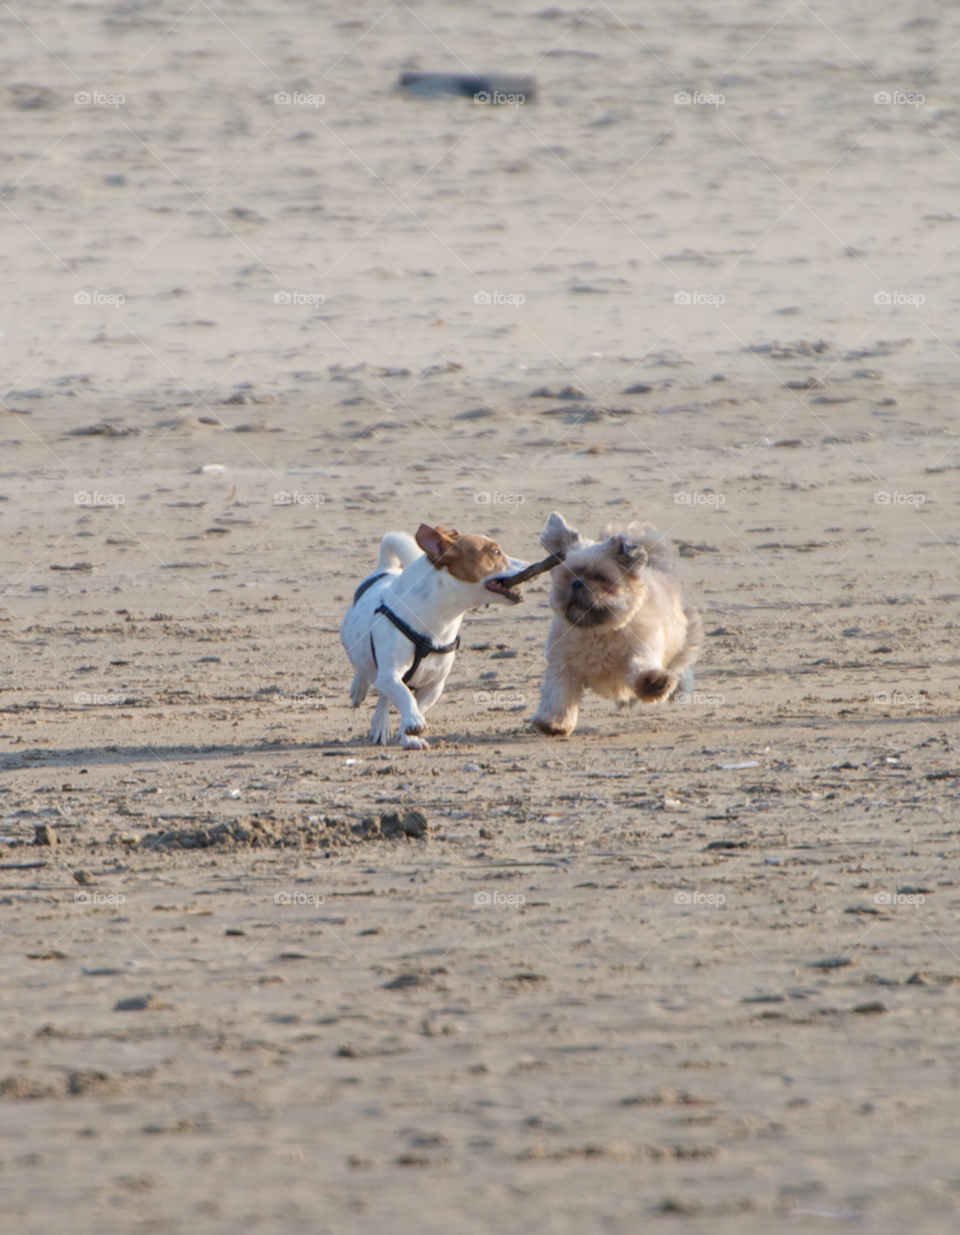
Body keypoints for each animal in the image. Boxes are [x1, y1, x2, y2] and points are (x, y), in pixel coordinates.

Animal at [341, 523, 528, 745]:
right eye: (495, 552)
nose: (530, 565)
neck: (440, 620)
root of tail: (385, 569)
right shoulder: (390, 674)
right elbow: (405, 696)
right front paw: (413, 721)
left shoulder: (434, 686)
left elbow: (416, 704)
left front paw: (408, 734)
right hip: (350, 641)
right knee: (365, 670)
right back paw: (360, 687)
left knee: (384, 698)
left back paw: (380, 723)